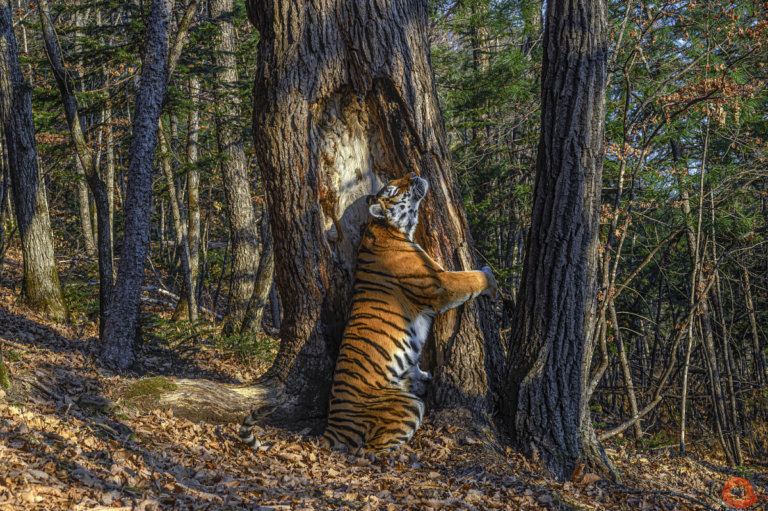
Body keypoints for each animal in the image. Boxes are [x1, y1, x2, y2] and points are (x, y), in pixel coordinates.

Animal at [320, 172, 498, 452]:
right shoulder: (439, 282)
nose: (413, 174)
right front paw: (491, 280)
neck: (390, 229)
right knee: (372, 450)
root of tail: (332, 425)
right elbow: (470, 278)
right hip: (407, 405)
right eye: (393, 189)